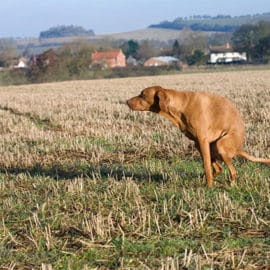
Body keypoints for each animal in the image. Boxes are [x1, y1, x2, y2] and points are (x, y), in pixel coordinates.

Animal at [127, 85, 270, 187]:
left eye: (142, 94)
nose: (126, 101)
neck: (181, 105)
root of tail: (239, 148)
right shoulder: (198, 141)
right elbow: (208, 165)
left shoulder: (202, 140)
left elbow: (206, 165)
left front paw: (209, 186)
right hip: (208, 146)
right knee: (219, 168)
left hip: (220, 145)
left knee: (232, 171)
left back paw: (230, 184)